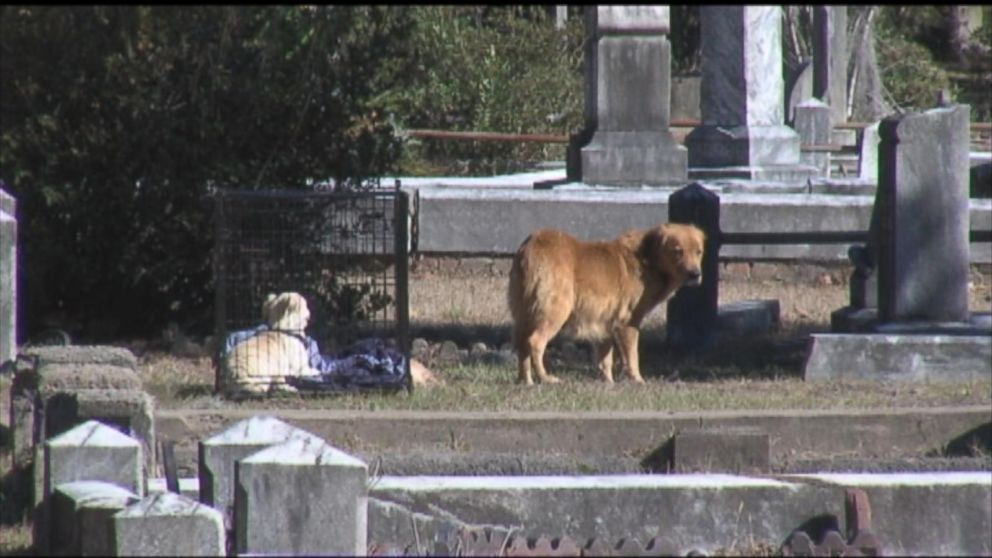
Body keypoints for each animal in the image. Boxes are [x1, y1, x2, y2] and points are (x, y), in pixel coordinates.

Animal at [512, 223, 704, 384]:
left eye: (699, 252)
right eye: (678, 251)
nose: (696, 274)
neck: (648, 259)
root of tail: (532, 244)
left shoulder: (604, 323)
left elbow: (605, 358)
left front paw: (608, 382)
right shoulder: (628, 323)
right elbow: (632, 356)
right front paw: (638, 380)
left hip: (524, 315)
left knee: (522, 346)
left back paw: (526, 381)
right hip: (555, 311)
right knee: (535, 342)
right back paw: (545, 378)